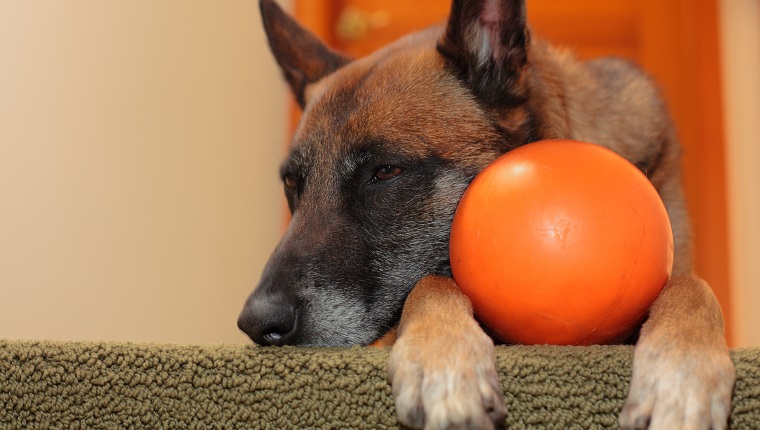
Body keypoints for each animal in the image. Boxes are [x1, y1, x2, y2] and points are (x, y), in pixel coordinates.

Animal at [239, 1, 736, 428]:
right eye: (292, 184)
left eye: (385, 171)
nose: (256, 324)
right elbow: (430, 282)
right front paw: (443, 359)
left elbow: (690, 286)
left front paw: (682, 371)